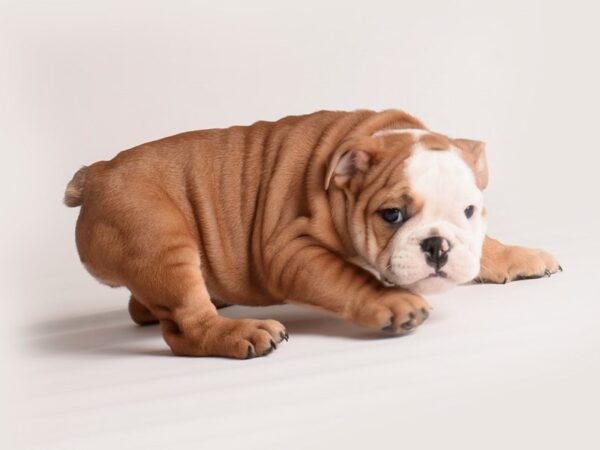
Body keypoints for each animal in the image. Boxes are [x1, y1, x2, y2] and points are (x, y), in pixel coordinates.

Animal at [67, 109, 564, 358]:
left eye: (469, 211)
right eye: (392, 215)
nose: (438, 246)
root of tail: (97, 173)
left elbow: (487, 247)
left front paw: (519, 256)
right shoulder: (291, 250)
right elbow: (349, 277)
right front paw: (393, 303)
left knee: (143, 308)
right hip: (159, 237)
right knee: (185, 325)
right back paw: (242, 331)